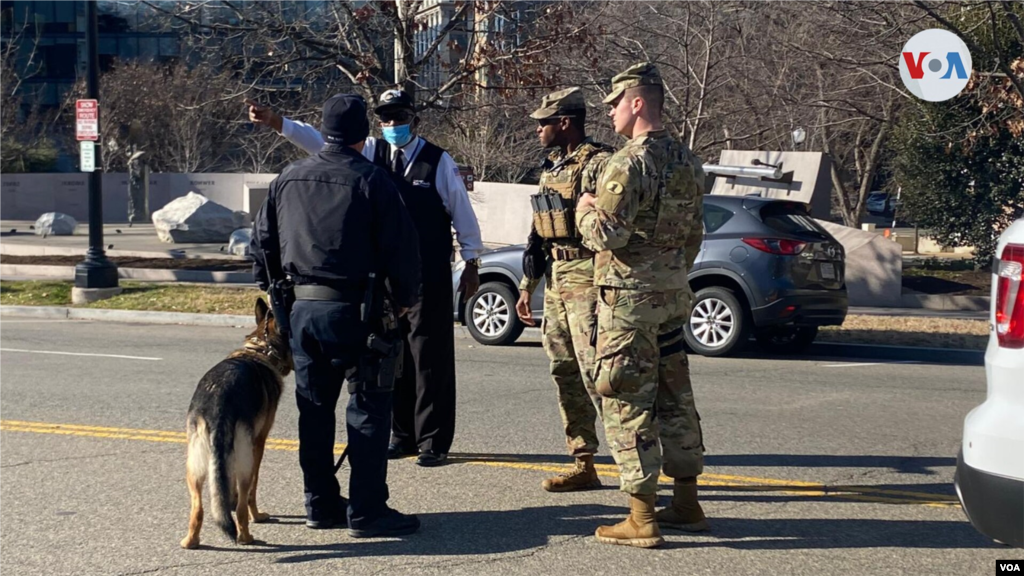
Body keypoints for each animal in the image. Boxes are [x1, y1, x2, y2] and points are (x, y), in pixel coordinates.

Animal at [179, 295, 292, 545]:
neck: (262, 349)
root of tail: (218, 403)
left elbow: (223, 487)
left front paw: (226, 503)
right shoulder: (258, 444)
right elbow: (251, 492)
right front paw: (257, 515)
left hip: (194, 465)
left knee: (198, 508)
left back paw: (191, 541)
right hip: (245, 461)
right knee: (242, 505)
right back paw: (246, 536)